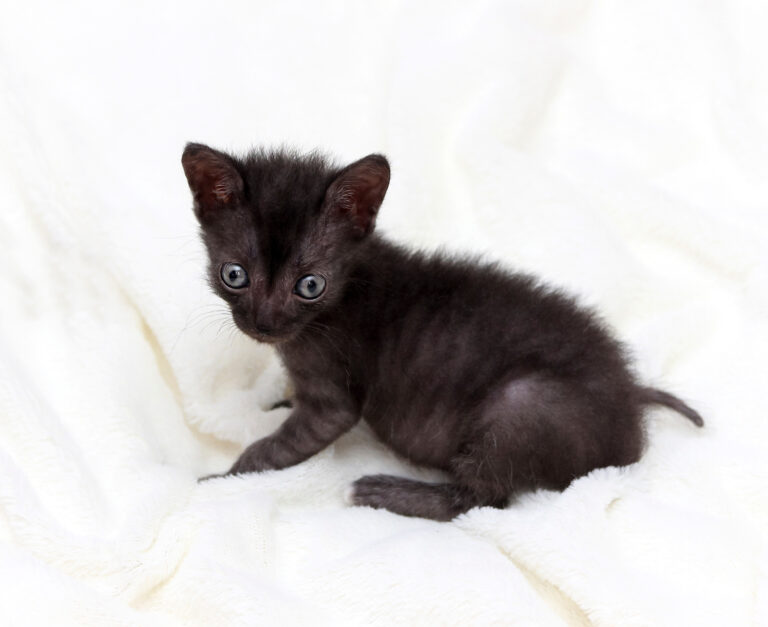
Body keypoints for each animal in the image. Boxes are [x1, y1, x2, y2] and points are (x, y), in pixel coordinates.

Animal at [180, 145, 704, 524]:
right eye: (234, 275)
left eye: (310, 285)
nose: (264, 323)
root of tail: (631, 398)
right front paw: (277, 398)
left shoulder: (333, 401)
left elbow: (275, 447)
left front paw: (218, 480)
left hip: (524, 402)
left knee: (483, 499)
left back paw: (381, 492)